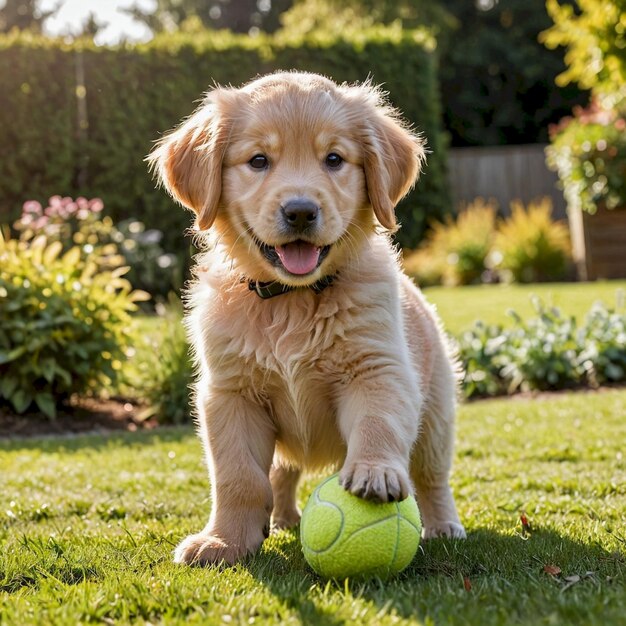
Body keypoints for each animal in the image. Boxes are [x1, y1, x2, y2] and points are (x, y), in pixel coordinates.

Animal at [150, 70, 464, 564]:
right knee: (281, 472)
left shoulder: (378, 369)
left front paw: (374, 473)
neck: (291, 301)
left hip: (436, 414)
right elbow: (238, 477)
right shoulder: (230, 394)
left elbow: (377, 423)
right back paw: (281, 518)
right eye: (259, 160)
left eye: (334, 159)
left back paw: (443, 525)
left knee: (432, 475)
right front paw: (224, 541)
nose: (300, 211)